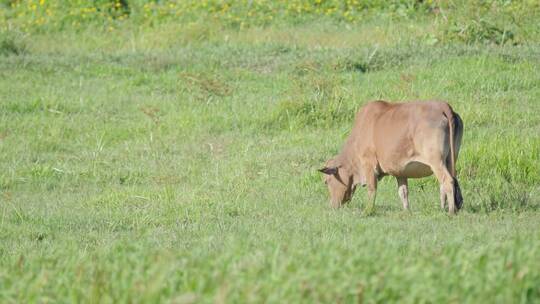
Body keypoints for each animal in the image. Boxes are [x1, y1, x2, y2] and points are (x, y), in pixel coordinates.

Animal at [318, 100, 462, 214]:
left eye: (326, 181)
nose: (332, 205)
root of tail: (442, 105)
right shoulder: (400, 171)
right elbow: (403, 192)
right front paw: (406, 211)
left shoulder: (369, 164)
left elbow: (372, 189)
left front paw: (368, 210)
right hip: (450, 160)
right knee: (447, 183)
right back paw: (444, 207)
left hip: (436, 161)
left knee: (447, 181)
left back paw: (450, 211)